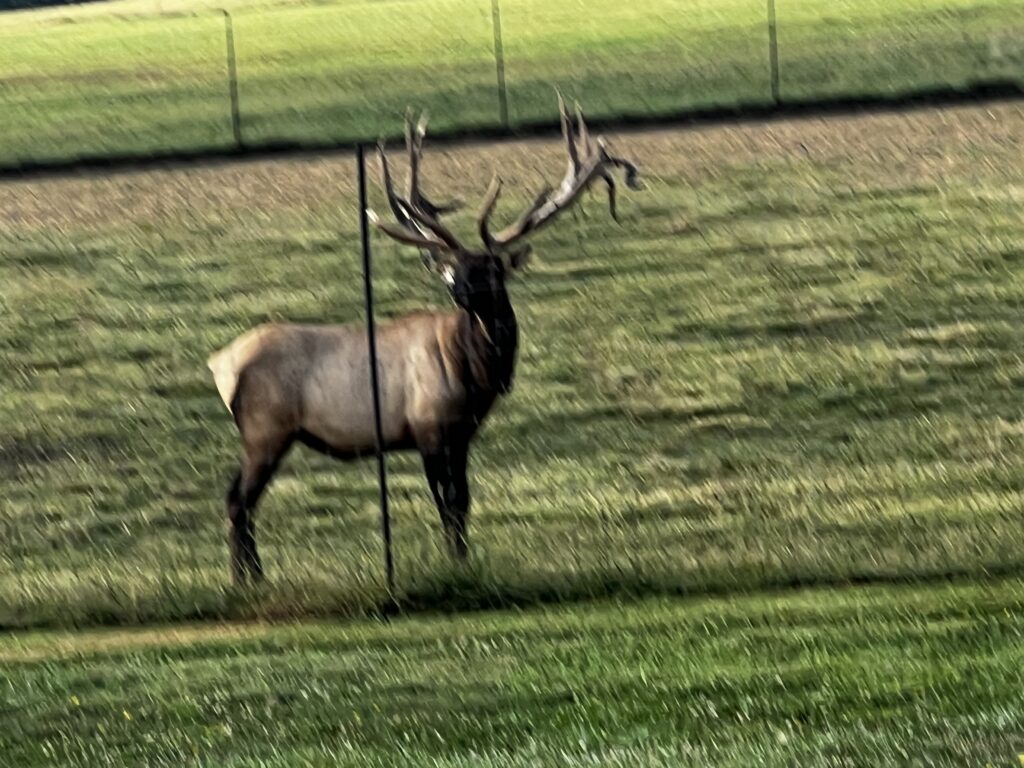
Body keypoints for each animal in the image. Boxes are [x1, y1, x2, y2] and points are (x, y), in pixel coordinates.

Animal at [207, 95, 640, 585]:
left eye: (490, 268)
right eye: (454, 266)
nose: (456, 287)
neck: (477, 376)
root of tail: (219, 365)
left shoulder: (461, 435)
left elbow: (464, 503)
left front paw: (466, 561)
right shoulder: (428, 426)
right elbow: (447, 507)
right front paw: (455, 564)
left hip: (265, 434)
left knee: (239, 501)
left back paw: (251, 578)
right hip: (266, 428)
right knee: (238, 501)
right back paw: (246, 580)